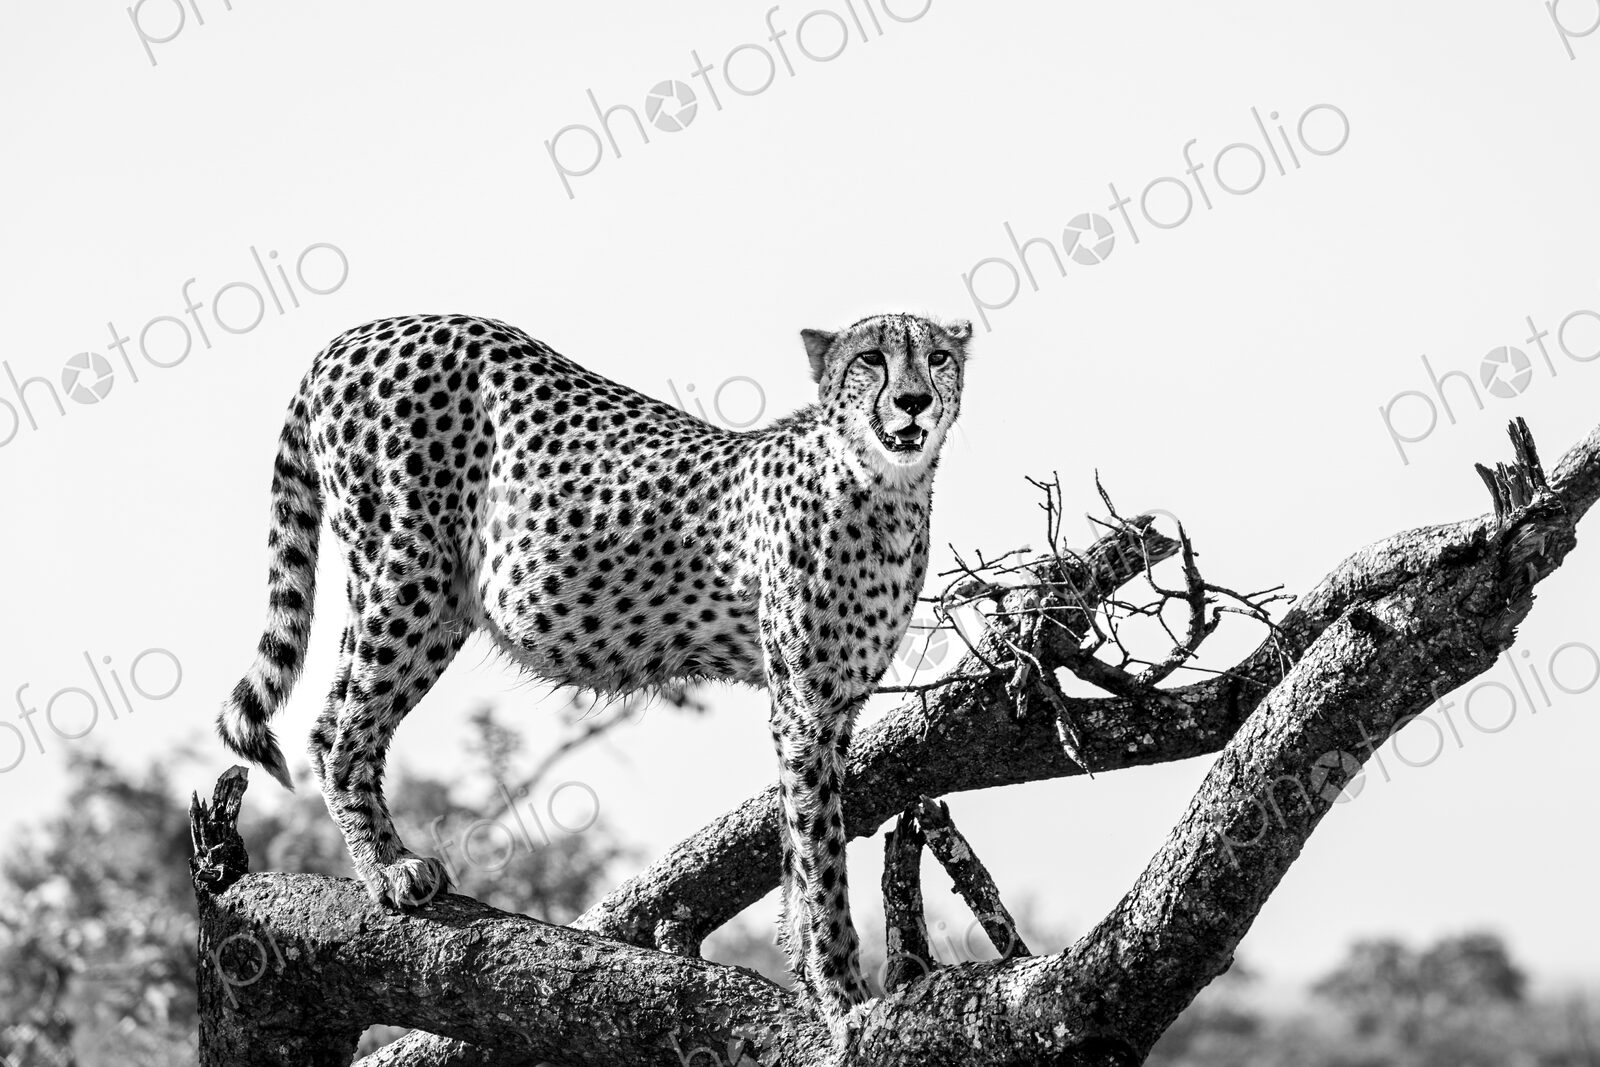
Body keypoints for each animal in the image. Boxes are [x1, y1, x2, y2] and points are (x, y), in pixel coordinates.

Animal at [216, 310, 971, 1023]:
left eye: (937, 356)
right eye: (870, 359)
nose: (912, 401)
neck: (889, 488)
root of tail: (361, 331)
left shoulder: (832, 707)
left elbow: (799, 841)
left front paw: (808, 973)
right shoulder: (805, 705)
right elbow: (821, 850)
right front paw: (843, 992)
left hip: (416, 595)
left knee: (326, 725)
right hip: (410, 572)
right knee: (347, 733)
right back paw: (389, 870)